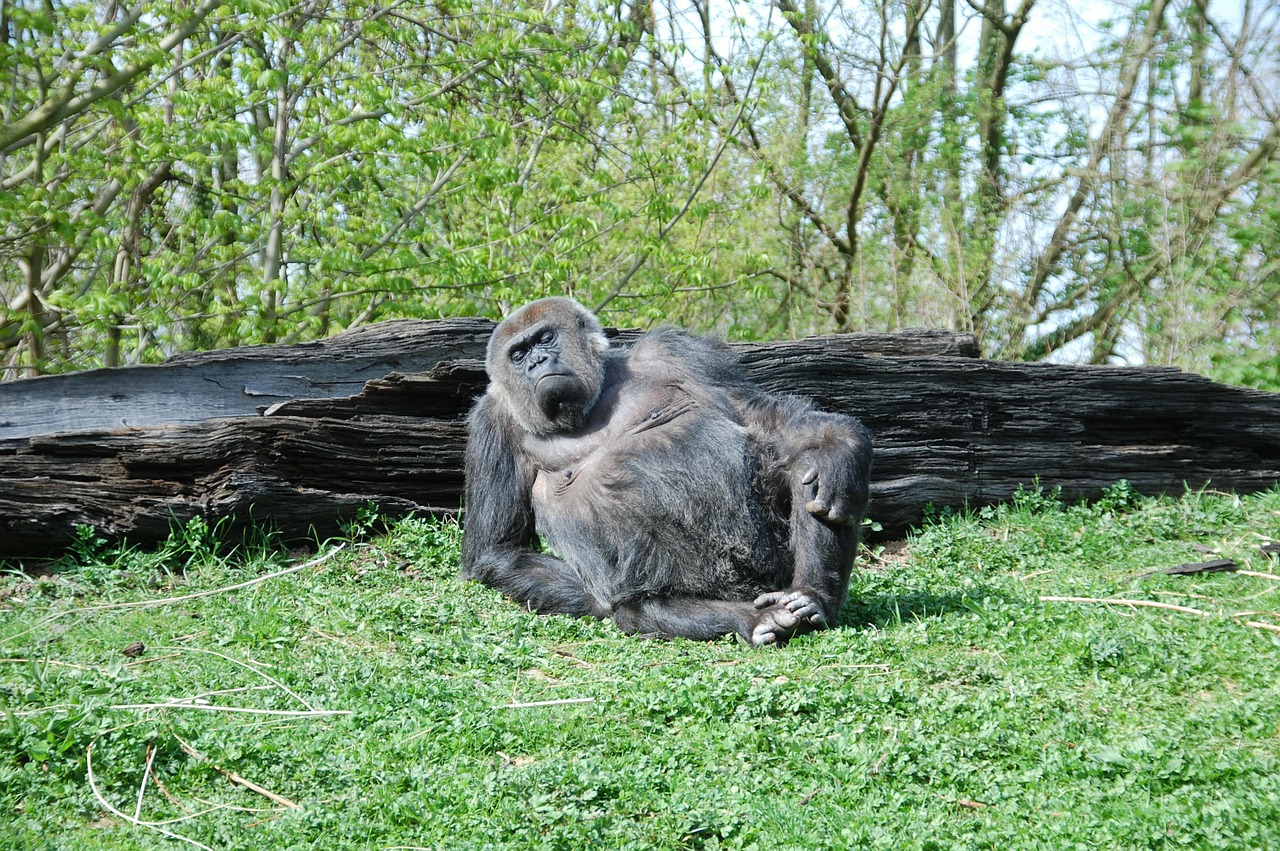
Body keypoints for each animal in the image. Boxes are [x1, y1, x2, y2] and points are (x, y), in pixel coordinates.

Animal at [465, 296, 875, 644]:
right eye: (518, 354)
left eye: (545, 337)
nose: (537, 362)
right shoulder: (492, 422)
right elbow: (501, 550)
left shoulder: (676, 353)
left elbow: (769, 420)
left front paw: (841, 447)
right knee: (636, 607)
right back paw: (747, 618)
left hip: (777, 571)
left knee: (807, 466)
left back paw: (812, 595)